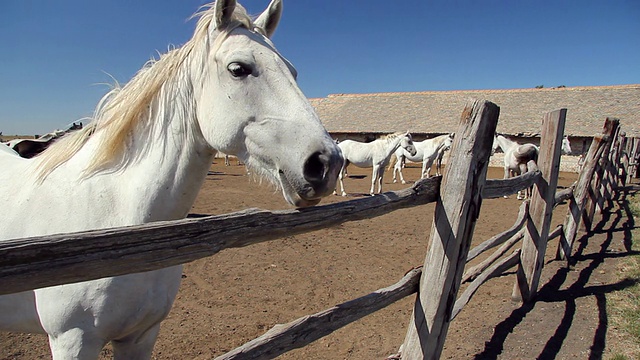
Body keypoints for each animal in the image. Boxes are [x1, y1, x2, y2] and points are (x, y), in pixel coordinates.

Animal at [0, 1, 344, 358]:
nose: (327, 163)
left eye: (292, 71)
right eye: (238, 68)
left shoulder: (141, 335)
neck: (116, 218)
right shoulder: (73, 340)